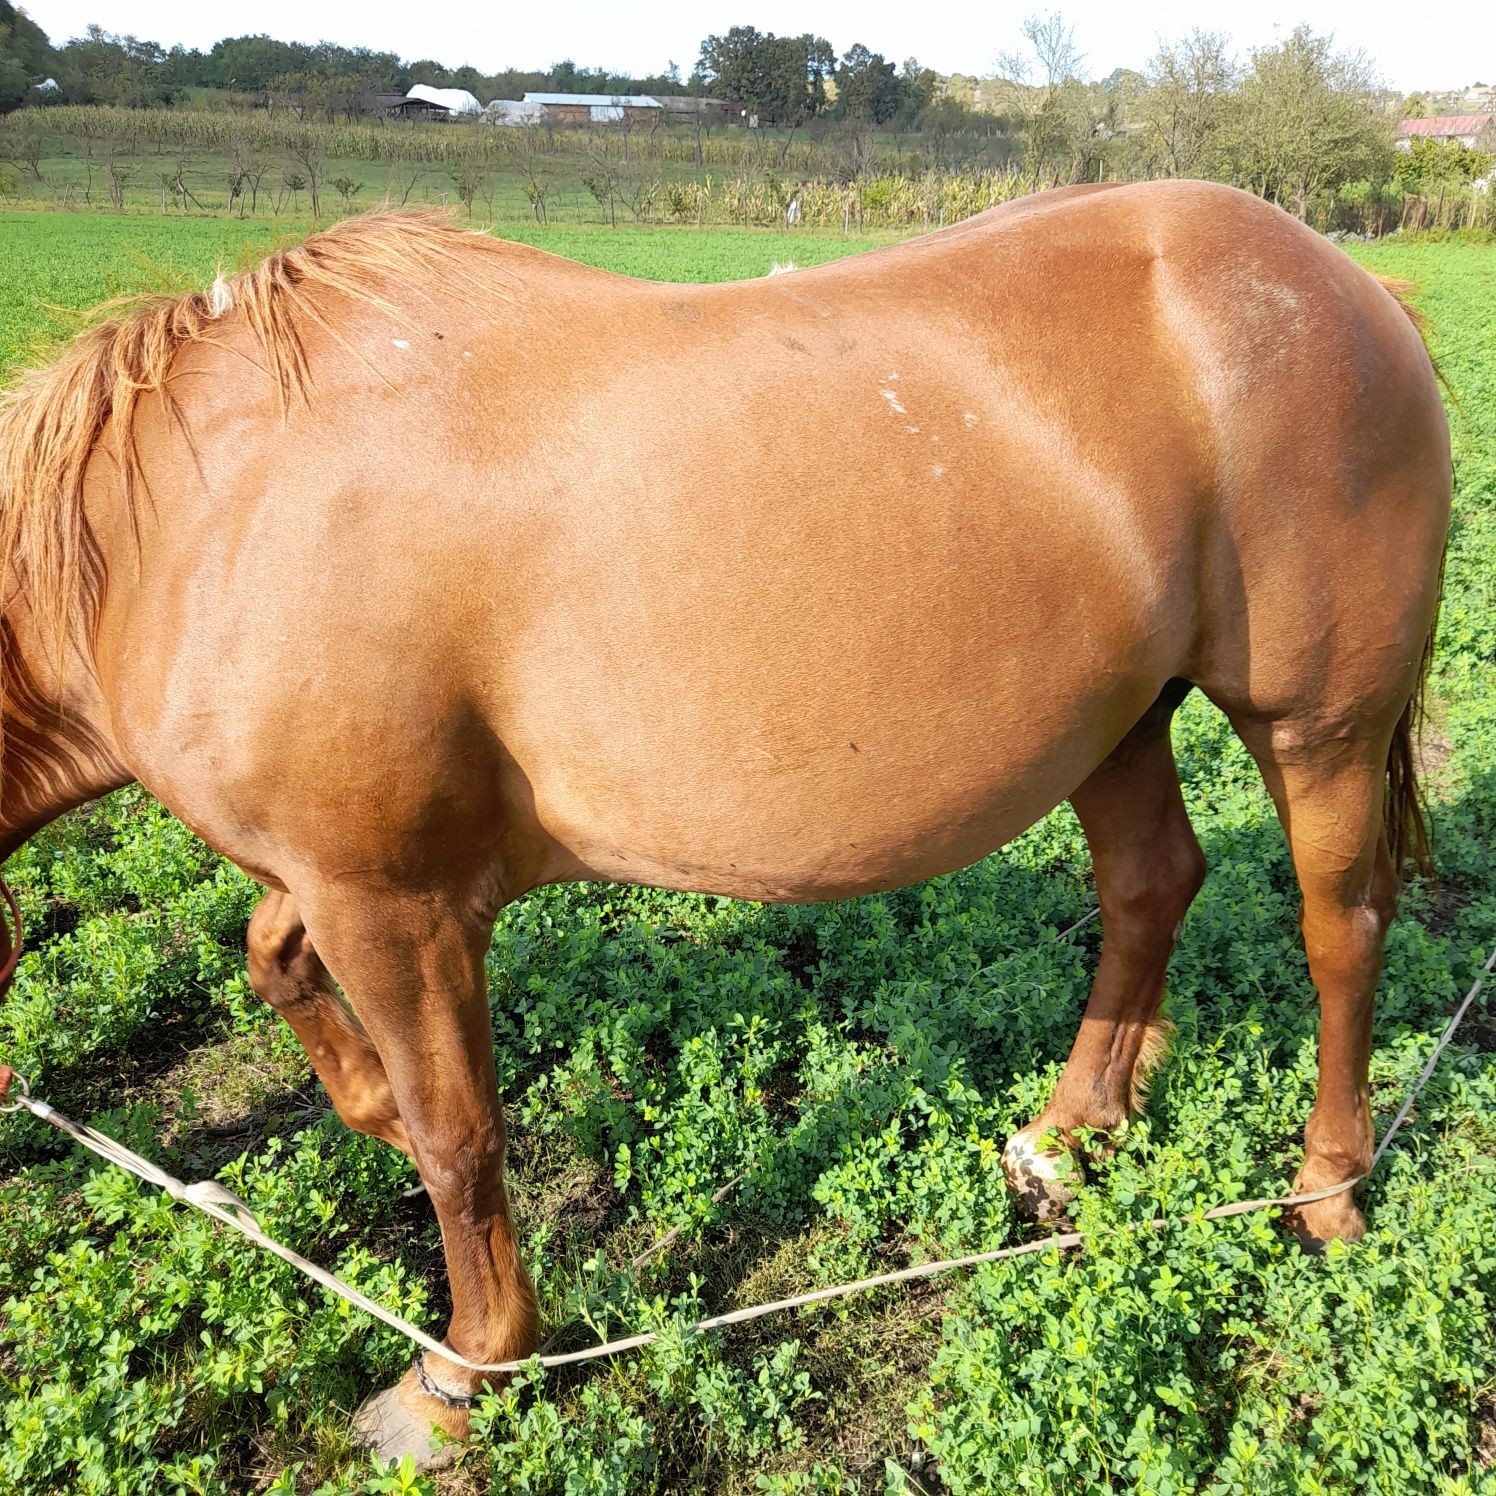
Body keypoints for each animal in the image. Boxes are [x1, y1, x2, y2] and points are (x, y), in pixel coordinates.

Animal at [0, 184, 1448, 1460]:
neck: (194, 517)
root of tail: (1355, 286)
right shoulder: (350, 875)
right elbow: (275, 960)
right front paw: (370, 1122)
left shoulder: (388, 898)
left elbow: (459, 1136)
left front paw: (466, 1369)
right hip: (1120, 718)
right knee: (1152, 882)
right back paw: (1070, 1134)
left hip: (1314, 730)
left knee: (1341, 928)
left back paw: (1325, 1190)